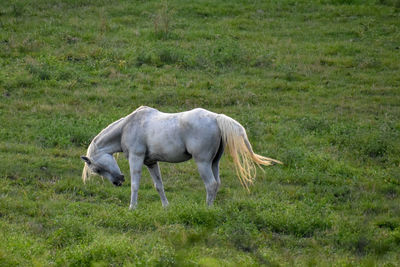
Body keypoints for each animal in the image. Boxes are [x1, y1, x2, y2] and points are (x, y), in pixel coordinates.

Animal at [80, 106, 282, 209]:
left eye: (97, 169)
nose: (118, 181)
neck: (128, 126)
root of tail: (216, 118)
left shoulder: (136, 159)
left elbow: (135, 184)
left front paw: (132, 207)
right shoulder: (151, 163)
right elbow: (159, 186)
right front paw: (166, 207)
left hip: (202, 163)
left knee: (211, 185)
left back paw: (207, 209)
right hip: (214, 163)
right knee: (217, 184)